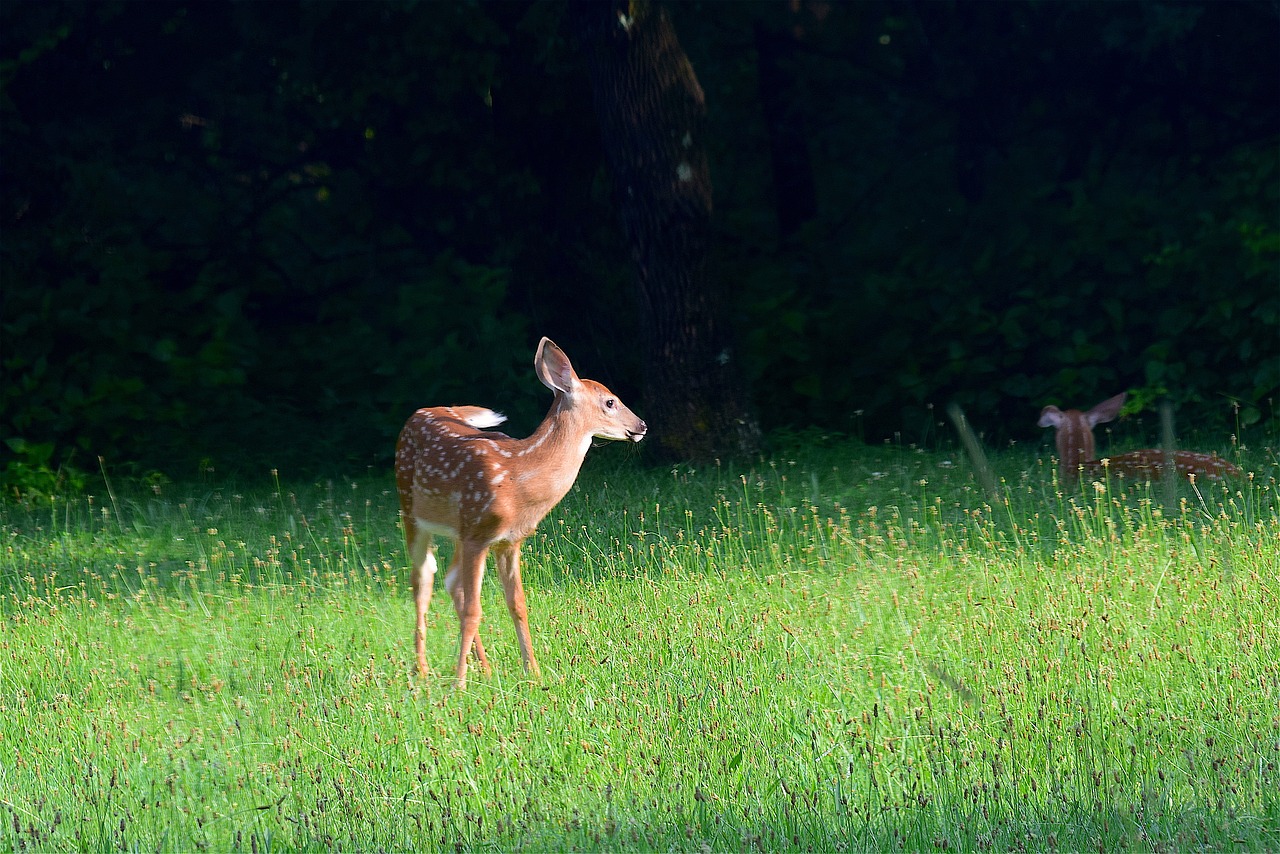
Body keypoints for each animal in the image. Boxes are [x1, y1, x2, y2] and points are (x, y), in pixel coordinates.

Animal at [391, 338, 650, 691]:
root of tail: (418, 413)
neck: (518, 477)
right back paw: (423, 669)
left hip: (459, 529)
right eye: (610, 401)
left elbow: (517, 604)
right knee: (422, 580)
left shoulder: (508, 540)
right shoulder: (478, 534)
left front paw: (534, 672)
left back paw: (484, 668)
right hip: (411, 509)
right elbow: (474, 609)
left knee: (451, 580)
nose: (641, 426)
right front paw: (459, 684)